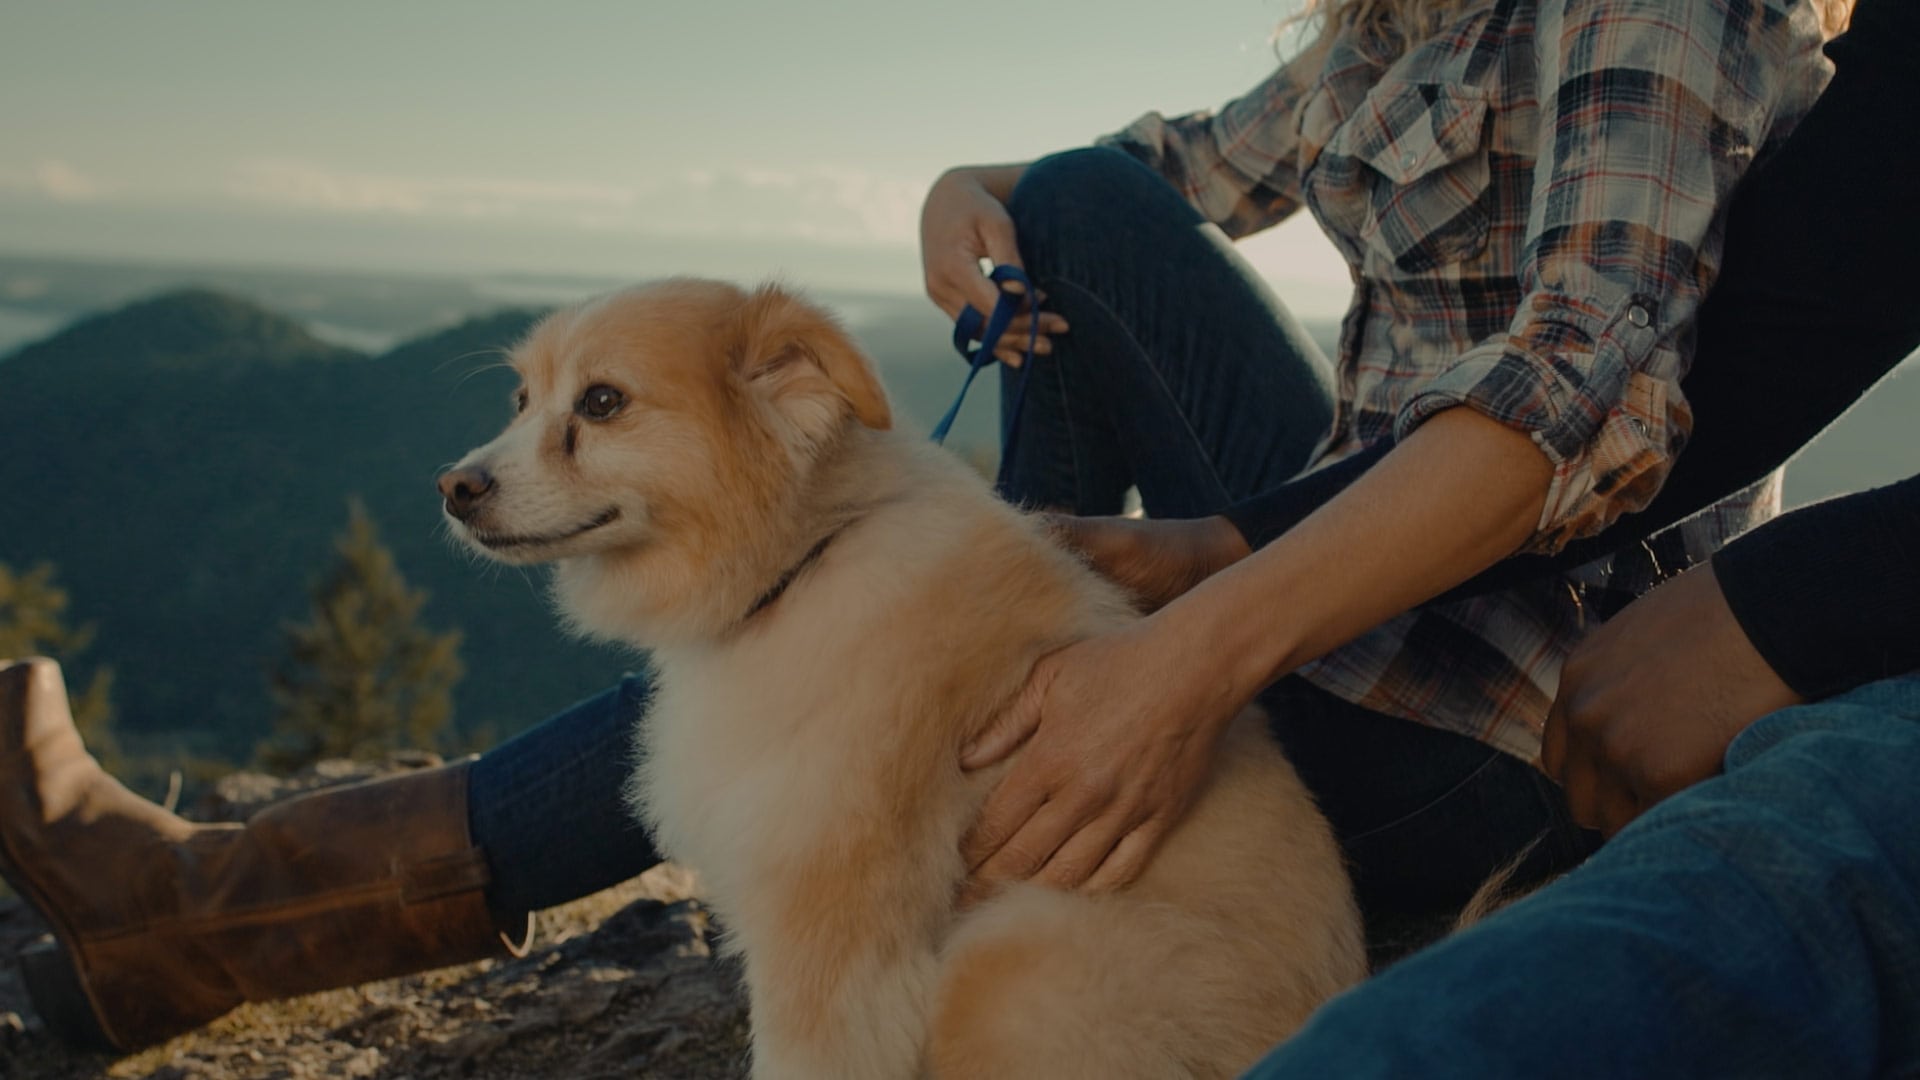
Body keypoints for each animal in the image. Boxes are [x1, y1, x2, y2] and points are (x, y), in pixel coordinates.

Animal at [435, 278, 1367, 1076]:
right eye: (522, 401)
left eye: (602, 403)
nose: (452, 486)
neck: (804, 562)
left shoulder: (829, 945)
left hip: (1013, 961)